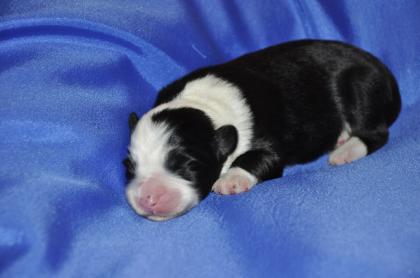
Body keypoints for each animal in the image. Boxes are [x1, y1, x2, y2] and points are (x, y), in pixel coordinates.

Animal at [122, 39, 400, 222]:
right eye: (129, 167)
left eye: (188, 165)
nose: (148, 197)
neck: (204, 107)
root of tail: (383, 71)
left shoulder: (269, 146)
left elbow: (258, 158)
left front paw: (231, 179)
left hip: (359, 85)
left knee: (376, 133)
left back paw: (346, 151)